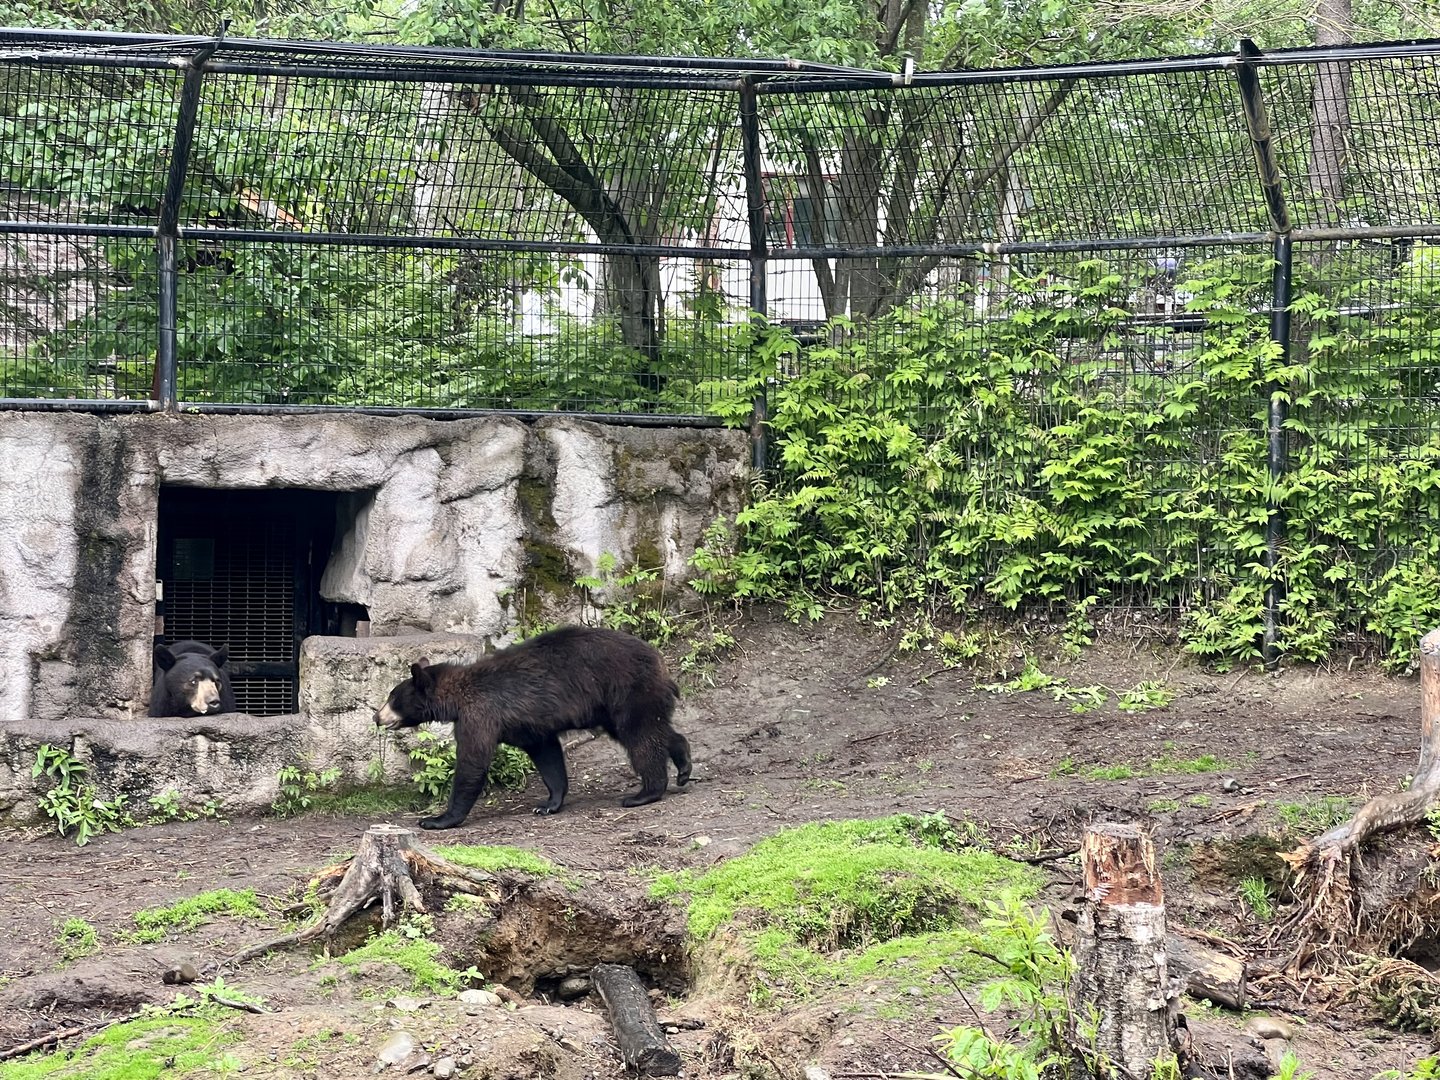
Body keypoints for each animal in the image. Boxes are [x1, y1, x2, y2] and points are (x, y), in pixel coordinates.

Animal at [373, 625, 691, 829]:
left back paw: (644, 793)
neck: (454, 698)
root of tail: (660, 660)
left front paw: (437, 819)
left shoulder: (480, 714)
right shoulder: (526, 723)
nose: (377, 717)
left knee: (641, 737)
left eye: (392, 697)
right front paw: (549, 803)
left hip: (626, 690)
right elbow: (546, 753)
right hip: (613, 706)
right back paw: (683, 764)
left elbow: (472, 761)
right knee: (653, 730)